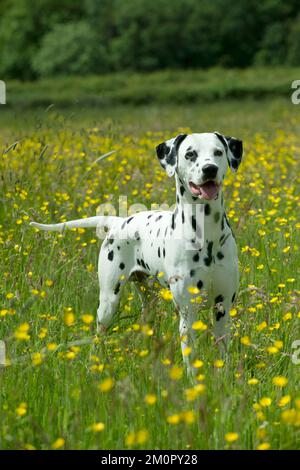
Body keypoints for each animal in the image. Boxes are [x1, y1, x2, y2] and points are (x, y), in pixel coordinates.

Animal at [30, 132, 243, 374]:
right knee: (98, 335)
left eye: (218, 152)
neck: (207, 234)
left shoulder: (223, 309)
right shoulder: (188, 313)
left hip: (149, 301)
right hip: (108, 302)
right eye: (190, 154)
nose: (210, 169)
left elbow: (223, 354)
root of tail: (119, 221)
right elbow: (191, 361)